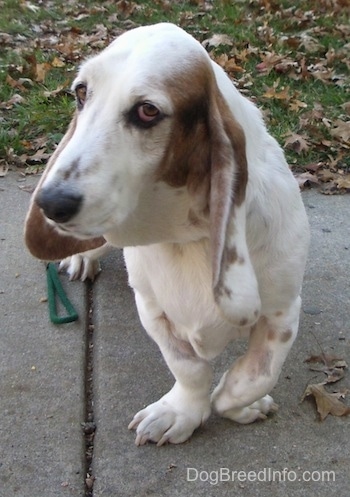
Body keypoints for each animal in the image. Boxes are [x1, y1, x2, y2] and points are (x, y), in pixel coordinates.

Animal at [24, 22, 308, 446]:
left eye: (147, 111)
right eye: (81, 92)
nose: (51, 202)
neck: (188, 238)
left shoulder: (282, 313)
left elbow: (256, 375)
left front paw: (235, 404)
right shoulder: (152, 309)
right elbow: (188, 369)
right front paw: (182, 412)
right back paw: (82, 256)